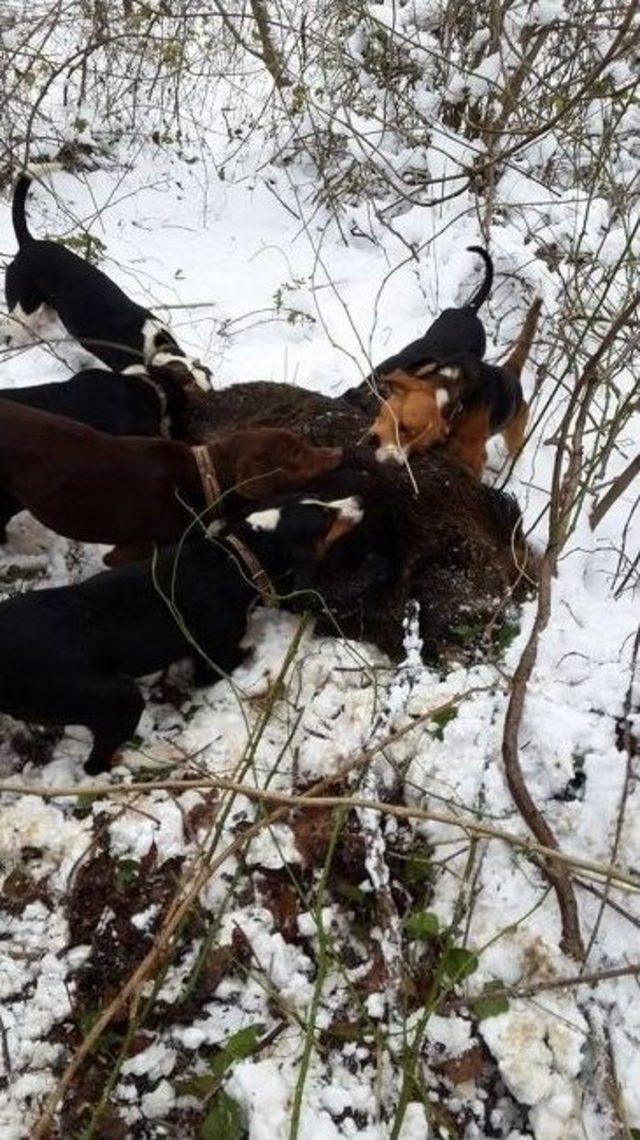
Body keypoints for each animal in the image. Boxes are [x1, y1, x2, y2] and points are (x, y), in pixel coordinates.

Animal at [0, 490, 360, 775]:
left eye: (322, 500)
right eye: (327, 517)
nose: (357, 501)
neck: (235, 558)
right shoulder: (211, 659)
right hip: (117, 699)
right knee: (97, 764)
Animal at [367, 298, 540, 476]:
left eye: (419, 449)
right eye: (402, 427)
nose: (393, 463)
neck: (451, 389)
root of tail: (511, 372)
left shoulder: (475, 460)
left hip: (515, 435)